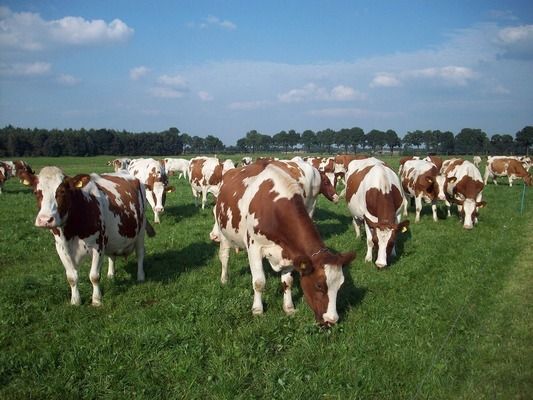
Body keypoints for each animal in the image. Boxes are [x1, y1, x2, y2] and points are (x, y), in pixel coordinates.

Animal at [20, 167, 154, 304]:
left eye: (62, 191)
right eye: (36, 192)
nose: (45, 220)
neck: (71, 232)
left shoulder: (98, 246)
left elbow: (94, 276)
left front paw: (96, 300)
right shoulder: (61, 247)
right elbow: (71, 277)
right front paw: (75, 301)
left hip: (141, 230)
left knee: (140, 254)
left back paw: (140, 276)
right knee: (112, 256)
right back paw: (111, 275)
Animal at [211, 161, 354, 326]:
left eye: (340, 285)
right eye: (319, 285)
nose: (331, 320)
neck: (274, 207)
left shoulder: (291, 252)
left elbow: (288, 282)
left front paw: (289, 307)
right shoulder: (254, 247)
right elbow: (259, 282)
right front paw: (257, 310)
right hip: (223, 232)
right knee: (224, 256)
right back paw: (224, 279)